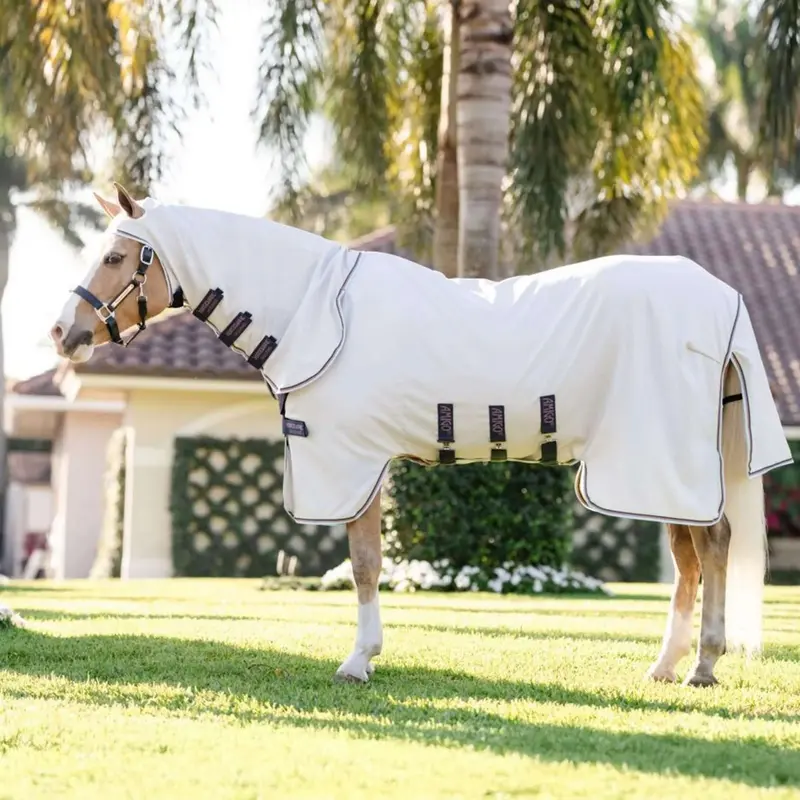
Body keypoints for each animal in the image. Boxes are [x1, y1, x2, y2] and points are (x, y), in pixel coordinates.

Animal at [50, 183, 793, 687]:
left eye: (116, 255)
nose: (63, 333)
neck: (318, 311)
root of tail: (721, 297)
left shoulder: (351, 462)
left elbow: (364, 563)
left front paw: (358, 660)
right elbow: (367, 561)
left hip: (660, 460)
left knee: (713, 547)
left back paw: (702, 666)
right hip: (657, 467)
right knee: (690, 558)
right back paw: (667, 665)